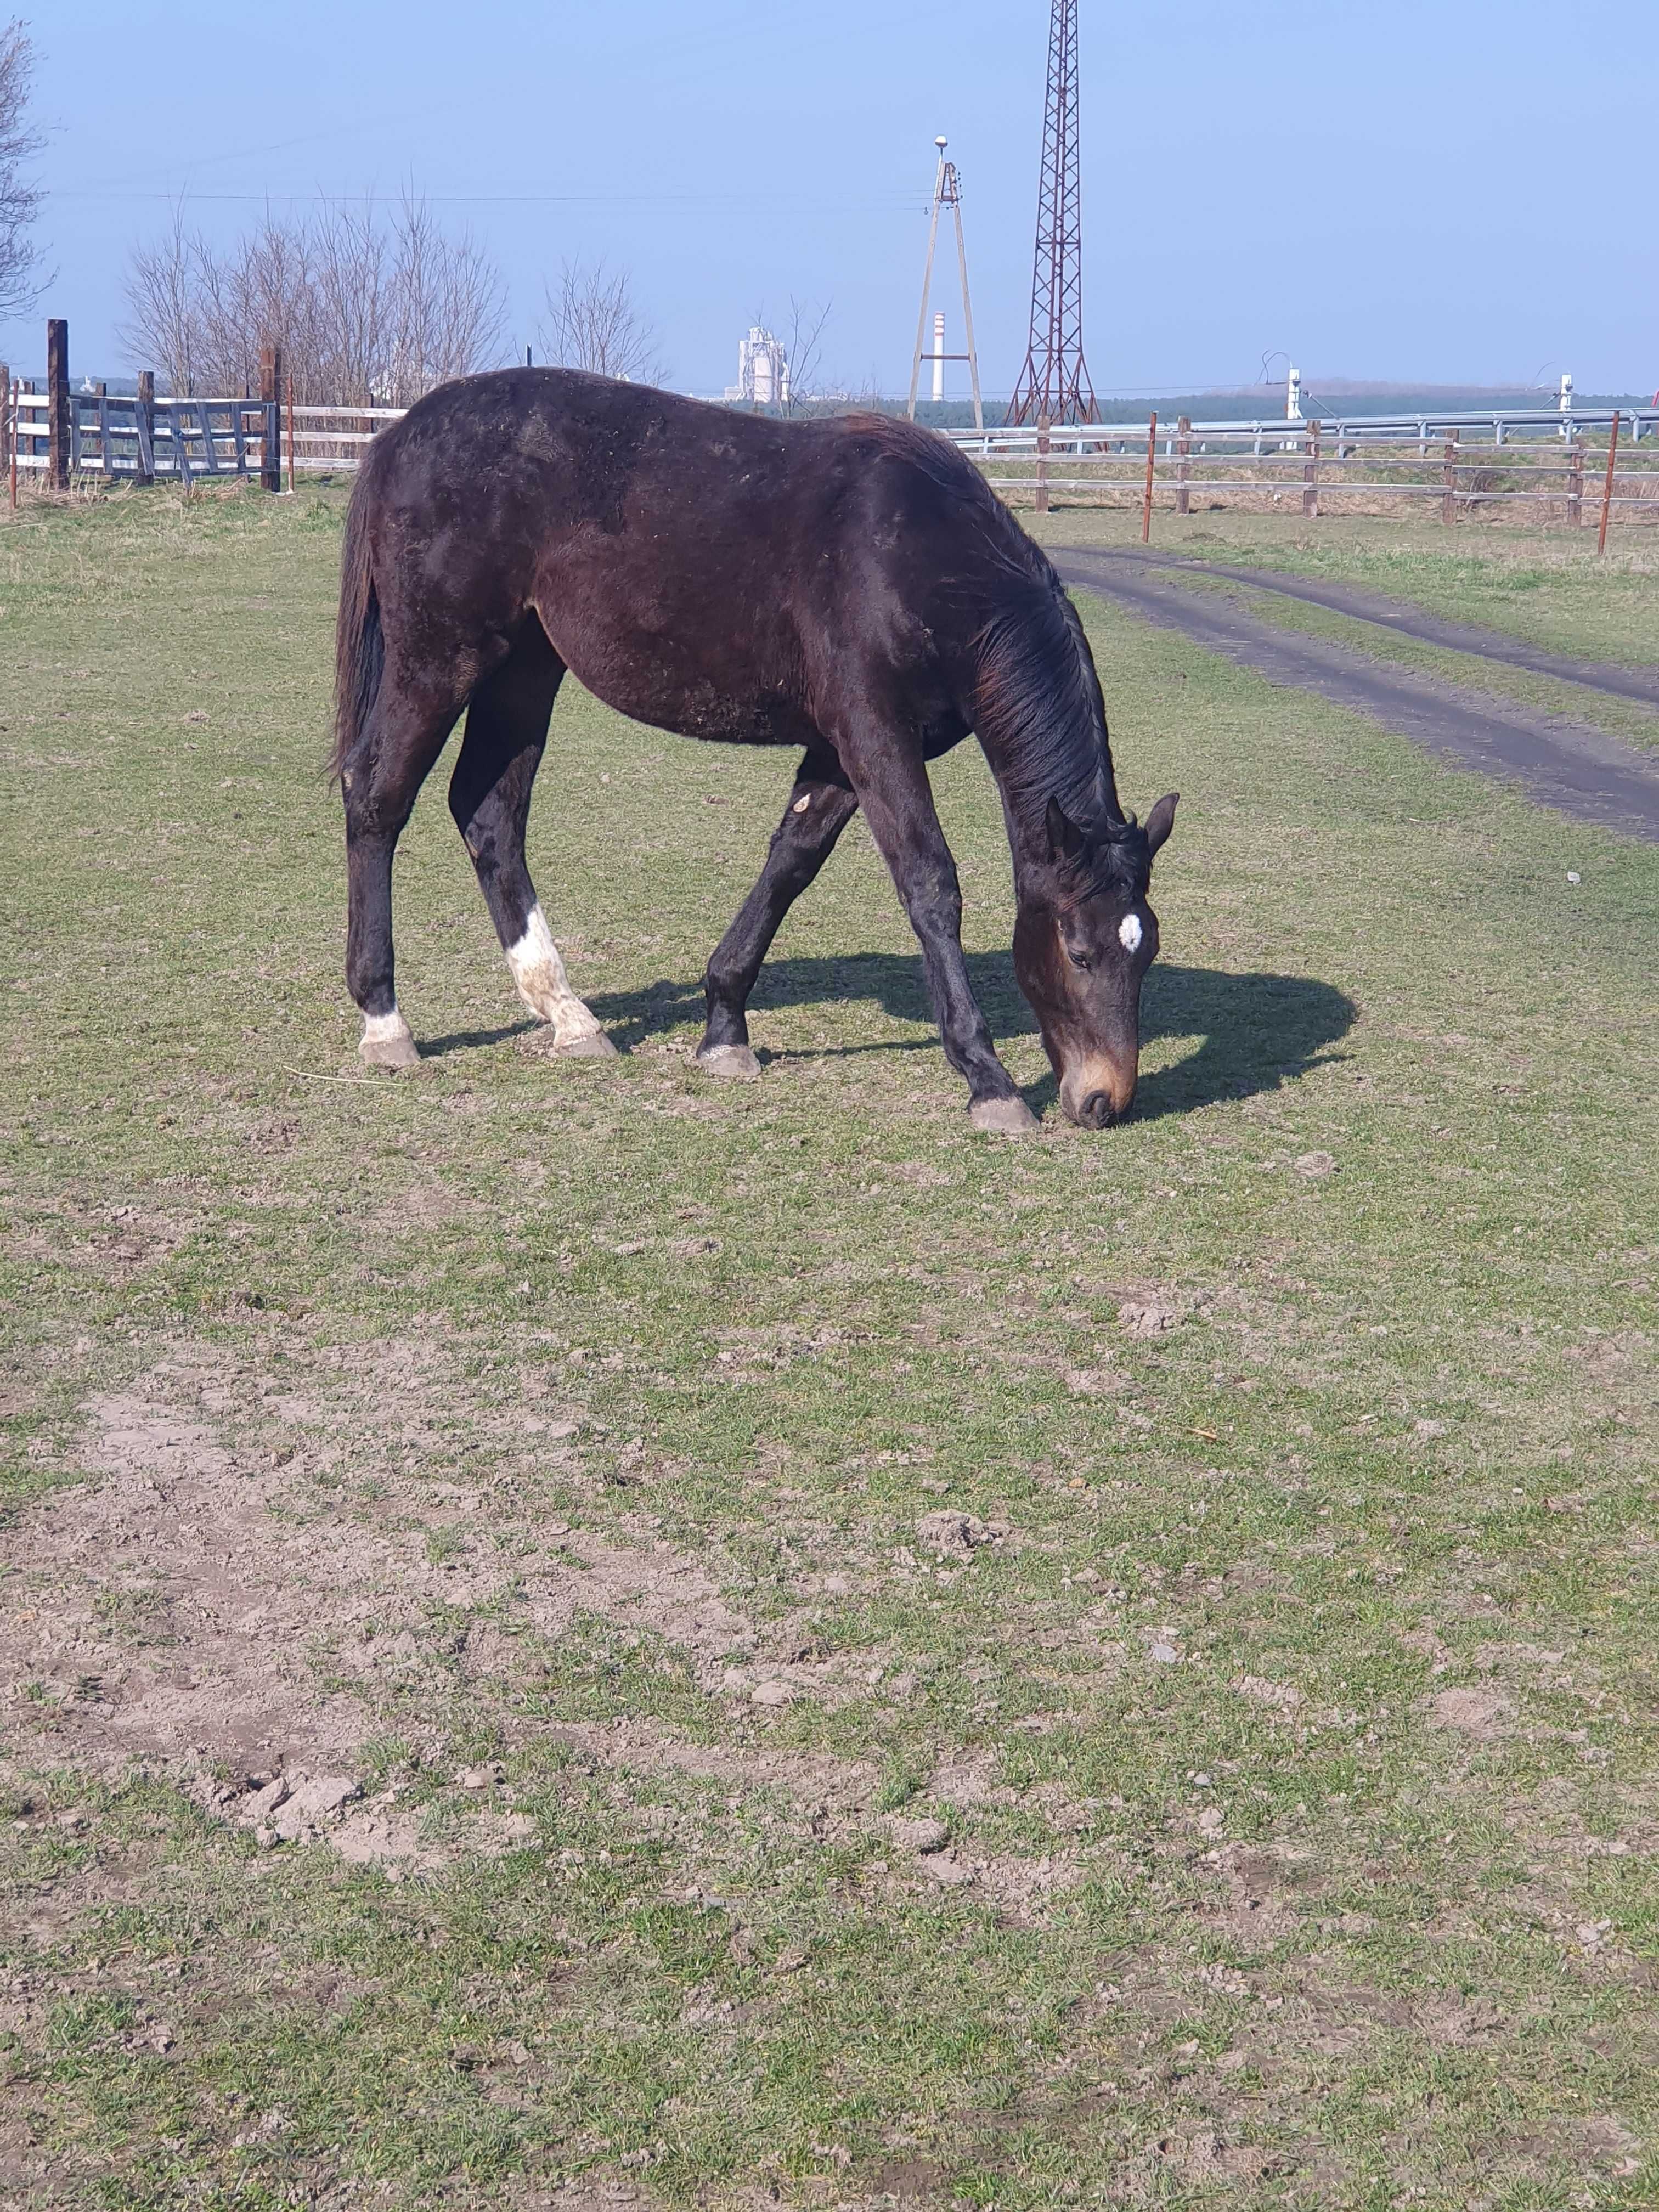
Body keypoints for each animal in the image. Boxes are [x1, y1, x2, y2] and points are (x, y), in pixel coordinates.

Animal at [331, 371, 1177, 1132]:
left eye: (1146, 950)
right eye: (1078, 950)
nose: (1104, 1101)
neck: (919, 554)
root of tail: (398, 436)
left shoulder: (840, 750)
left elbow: (790, 865)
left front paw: (724, 1027)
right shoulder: (876, 736)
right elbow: (929, 884)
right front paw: (989, 1080)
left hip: (524, 668)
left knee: (489, 816)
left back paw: (569, 1015)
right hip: (439, 662)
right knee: (377, 797)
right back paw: (385, 1021)